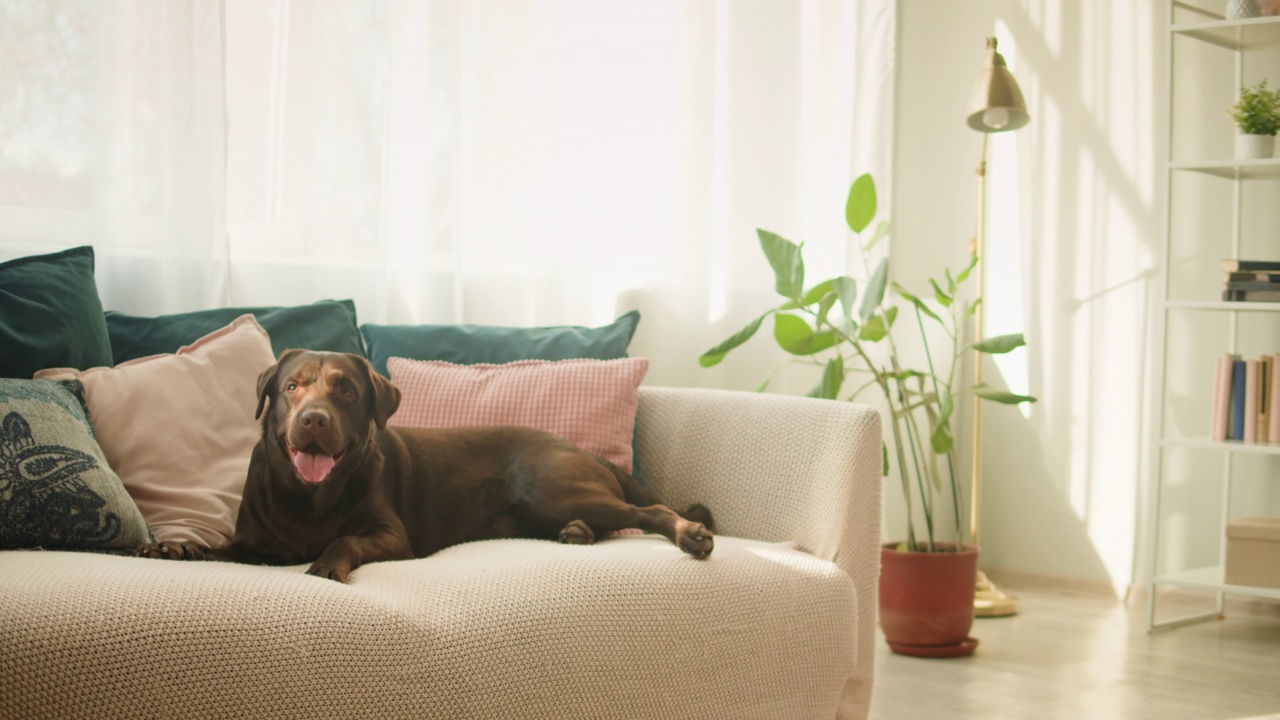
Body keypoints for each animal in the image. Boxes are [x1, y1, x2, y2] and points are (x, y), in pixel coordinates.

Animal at [141, 348, 721, 584]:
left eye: (345, 391)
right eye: (292, 387)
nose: (312, 420)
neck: (309, 497)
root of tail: (582, 449)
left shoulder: (390, 535)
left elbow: (344, 539)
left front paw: (328, 562)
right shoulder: (252, 545)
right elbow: (213, 548)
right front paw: (173, 547)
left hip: (554, 487)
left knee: (648, 513)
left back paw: (689, 534)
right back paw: (576, 534)